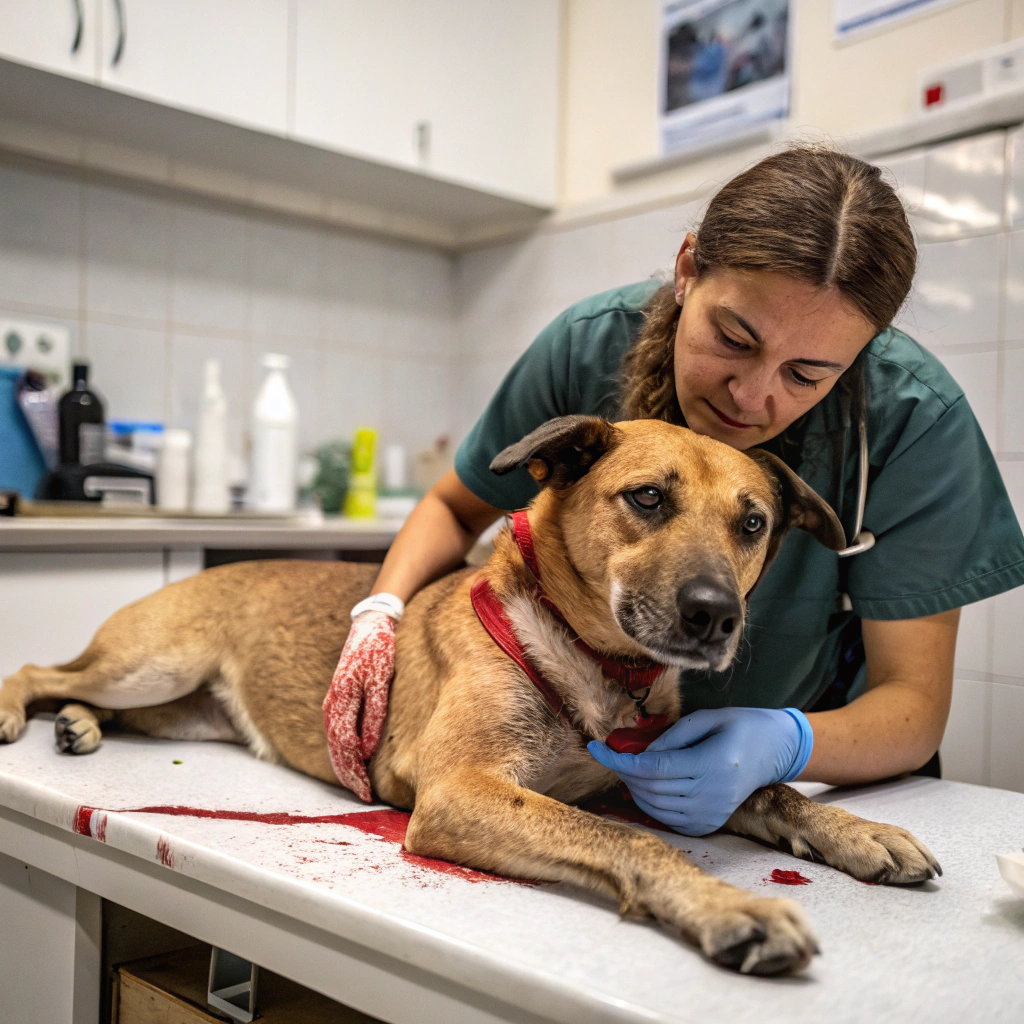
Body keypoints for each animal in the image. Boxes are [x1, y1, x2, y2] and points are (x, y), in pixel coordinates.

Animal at [0, 419, 937, 978]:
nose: (716, 615)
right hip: (153, 661)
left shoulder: (664, 771)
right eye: (647, 497)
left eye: (751, 524)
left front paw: (860, 830)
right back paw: (24, 712)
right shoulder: (462, 790)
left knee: (101, 701)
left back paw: (80, 727)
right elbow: (631, 841)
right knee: (43, 668)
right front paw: (728, 906)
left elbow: (770, 788)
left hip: (182, 704)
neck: (594, 661)